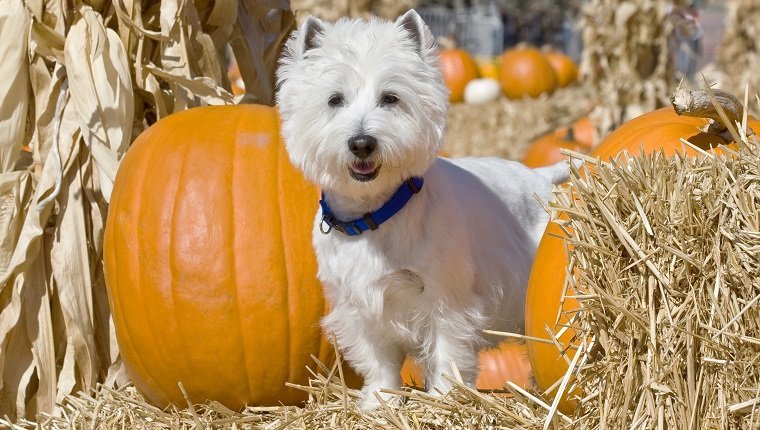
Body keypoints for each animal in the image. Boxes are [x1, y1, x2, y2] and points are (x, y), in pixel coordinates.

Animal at [278, 8, 568, 408]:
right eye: (334, 100)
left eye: (390, 98)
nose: (362, 143)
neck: (375, 216)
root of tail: (541, 175)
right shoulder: (359, 304)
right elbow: (379, 361)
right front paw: (378, 403)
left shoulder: (446, 296)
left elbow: (447, 351)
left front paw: (444, 399)